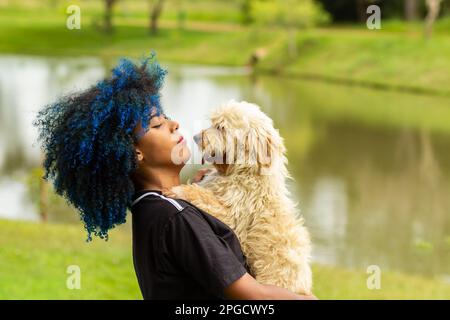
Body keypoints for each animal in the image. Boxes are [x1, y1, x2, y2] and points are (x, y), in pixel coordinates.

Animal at [167, 100, 312, 296]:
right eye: (214, 123)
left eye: (221, 128)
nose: (197, 137)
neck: (245, 172)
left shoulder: (233, 216)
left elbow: (204, 196)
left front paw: (180, 190)